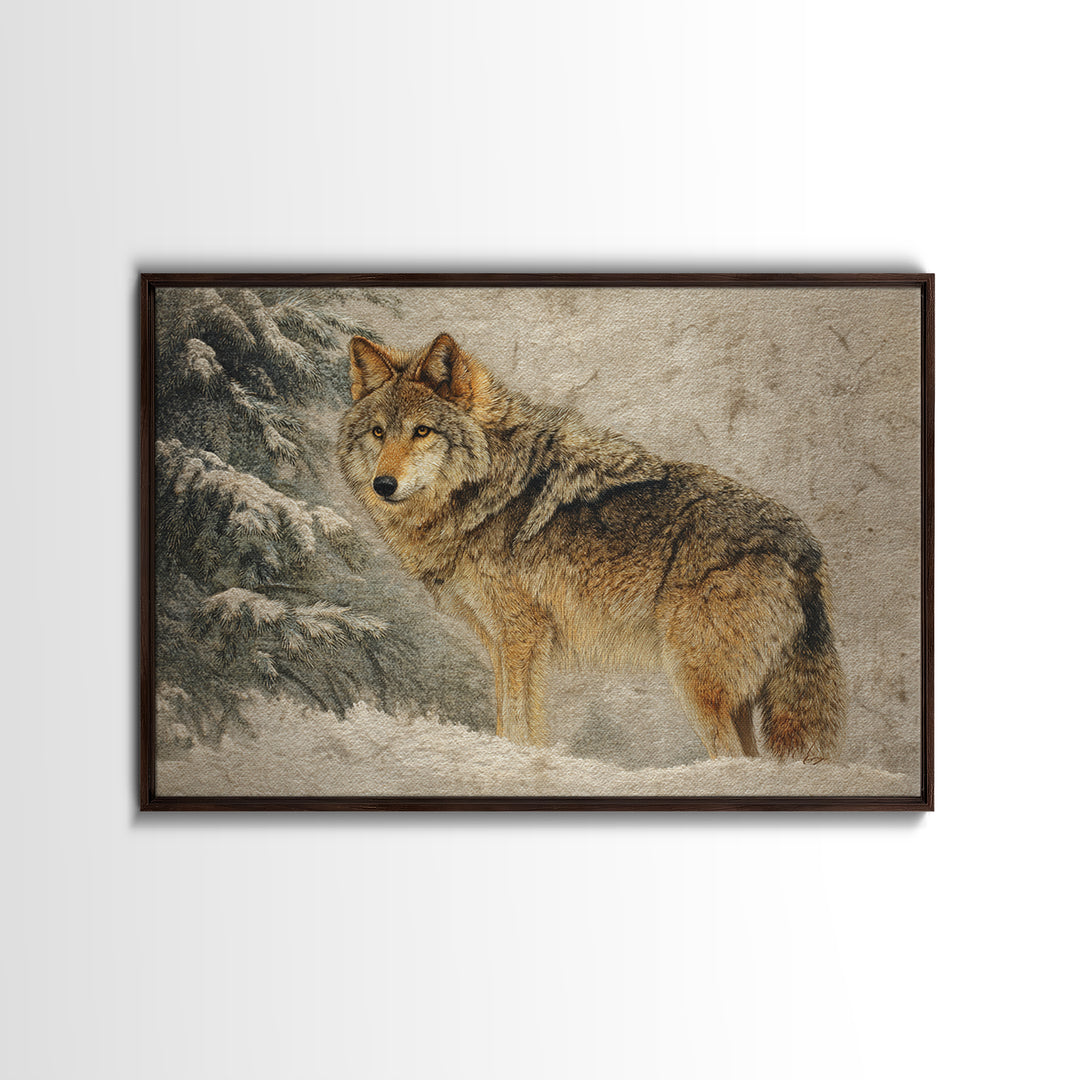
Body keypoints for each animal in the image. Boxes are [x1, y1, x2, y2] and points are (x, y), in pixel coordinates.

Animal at [337, 332, 845, 760]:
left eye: (422, 431)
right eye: (378, 433)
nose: (384, 484)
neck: (487, 488)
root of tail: (804, 546)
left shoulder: (522, 635)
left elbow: (518, 722)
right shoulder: (498, 639)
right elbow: (506, 718)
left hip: (694, 682)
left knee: (731, 757)